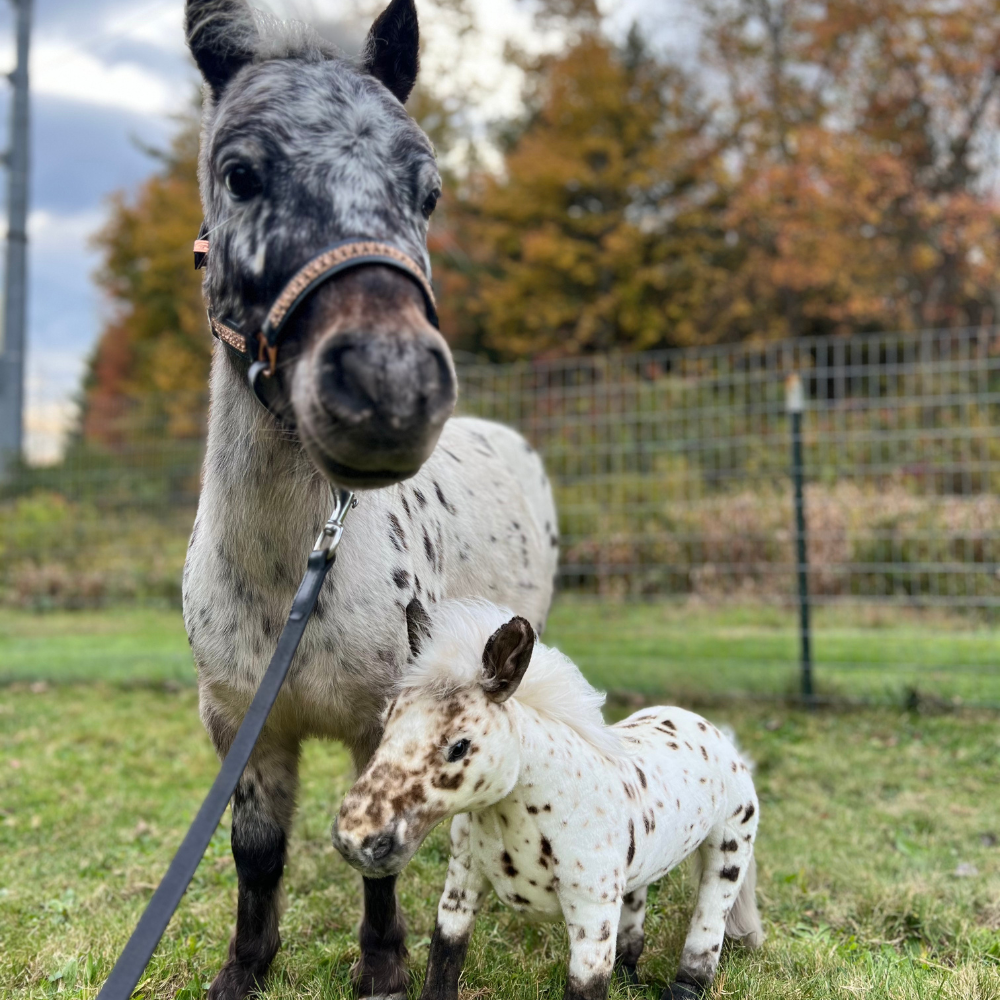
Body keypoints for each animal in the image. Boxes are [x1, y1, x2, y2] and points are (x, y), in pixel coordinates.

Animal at [182, 1, 564, 1000]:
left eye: (426, 191)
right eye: (239, 173)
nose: (389, 388)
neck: (292, 579)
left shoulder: (383, 719)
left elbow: (381, 855)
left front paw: (385, 966)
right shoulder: (242, 725)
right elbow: (256, 854)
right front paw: (247, 966)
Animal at [332, 600, 760, 1000]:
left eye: (459, 746)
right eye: (387, 721)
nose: (356, 839)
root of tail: (716, 733)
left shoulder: (592, 917)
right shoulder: (461, 884)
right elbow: (444, 959)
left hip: (728, 853)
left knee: (708, 925)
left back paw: (686, 984)